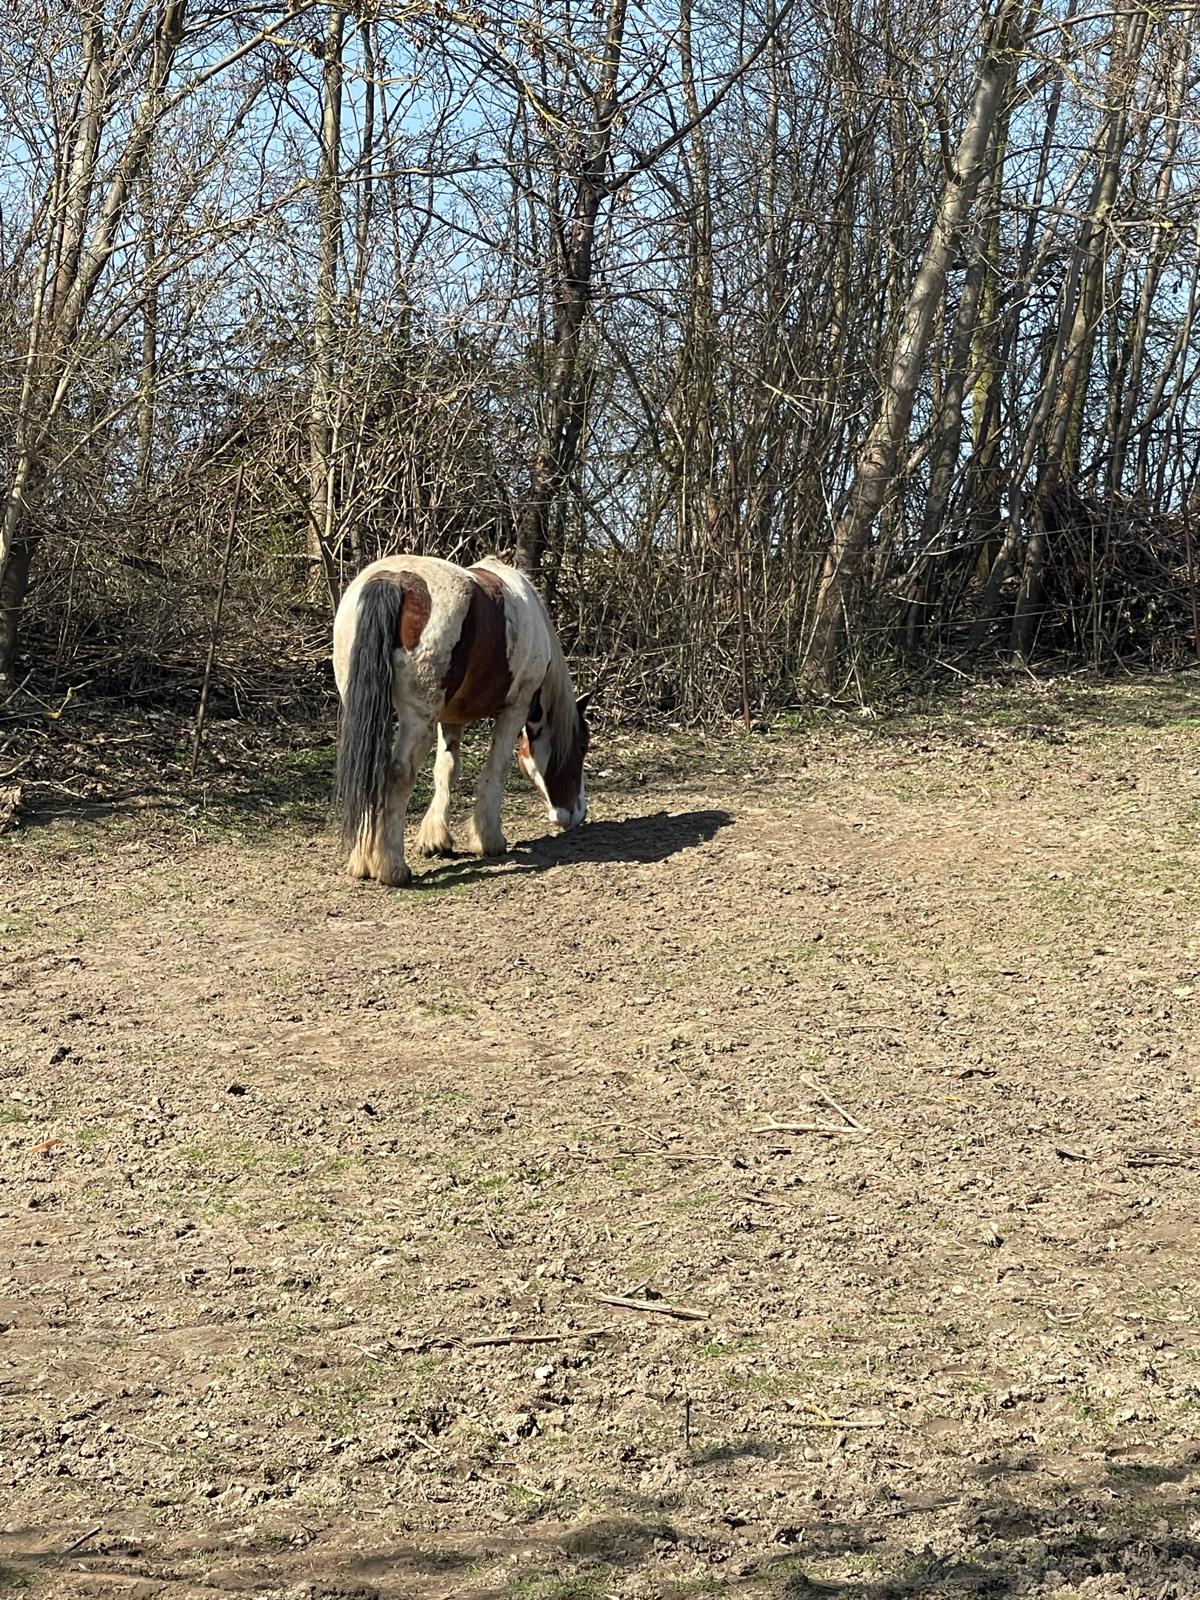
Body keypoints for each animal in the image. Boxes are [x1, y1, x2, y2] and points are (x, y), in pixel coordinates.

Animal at [332, 554, 590, 886]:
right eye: (581, 748)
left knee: (371, 769)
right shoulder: (514, 710)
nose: (576, 814)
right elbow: (496, 770)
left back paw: (363, 862)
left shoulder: (452, 717)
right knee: (398, 775)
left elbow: (446, 770)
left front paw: (436, 839)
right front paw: (489, 839)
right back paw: (392, 867)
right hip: (418, 719)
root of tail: (392, 580)